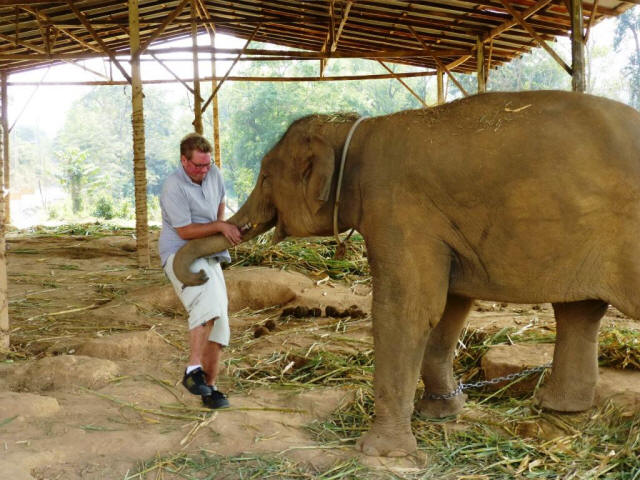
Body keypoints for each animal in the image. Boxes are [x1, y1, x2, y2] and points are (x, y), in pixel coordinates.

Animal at [172, 90, 640, 457]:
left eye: (267, 175)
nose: (203, 273)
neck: (354, 131)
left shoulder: (397, 208)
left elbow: (408, 308)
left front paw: (379, 452)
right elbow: (449, 305)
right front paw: (442, 413)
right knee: (580, 312)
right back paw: (558, 408)